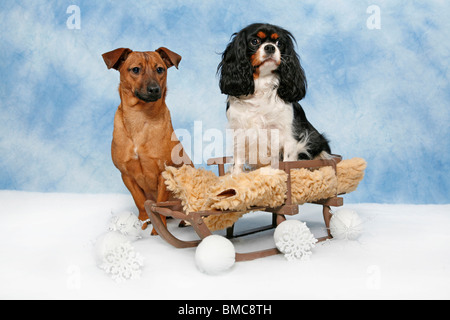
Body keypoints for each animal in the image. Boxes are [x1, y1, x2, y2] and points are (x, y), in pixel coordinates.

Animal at [102, 47, 190, 232]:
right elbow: (140, 202)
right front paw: (143, 221)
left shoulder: (163, 173)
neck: (140, 118)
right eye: (135, 69)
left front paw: (157, 231)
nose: (154, 89)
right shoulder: (127, 175)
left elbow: (160, 206)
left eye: (160, 69)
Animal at [218, 23, 330, 172]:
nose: (270, 47)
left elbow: (288, 162)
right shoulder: (240, 132)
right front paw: (235, 175)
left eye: (279, 43)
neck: (262, 83)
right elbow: (238, 161)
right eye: (255, 41)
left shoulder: (288, 137)